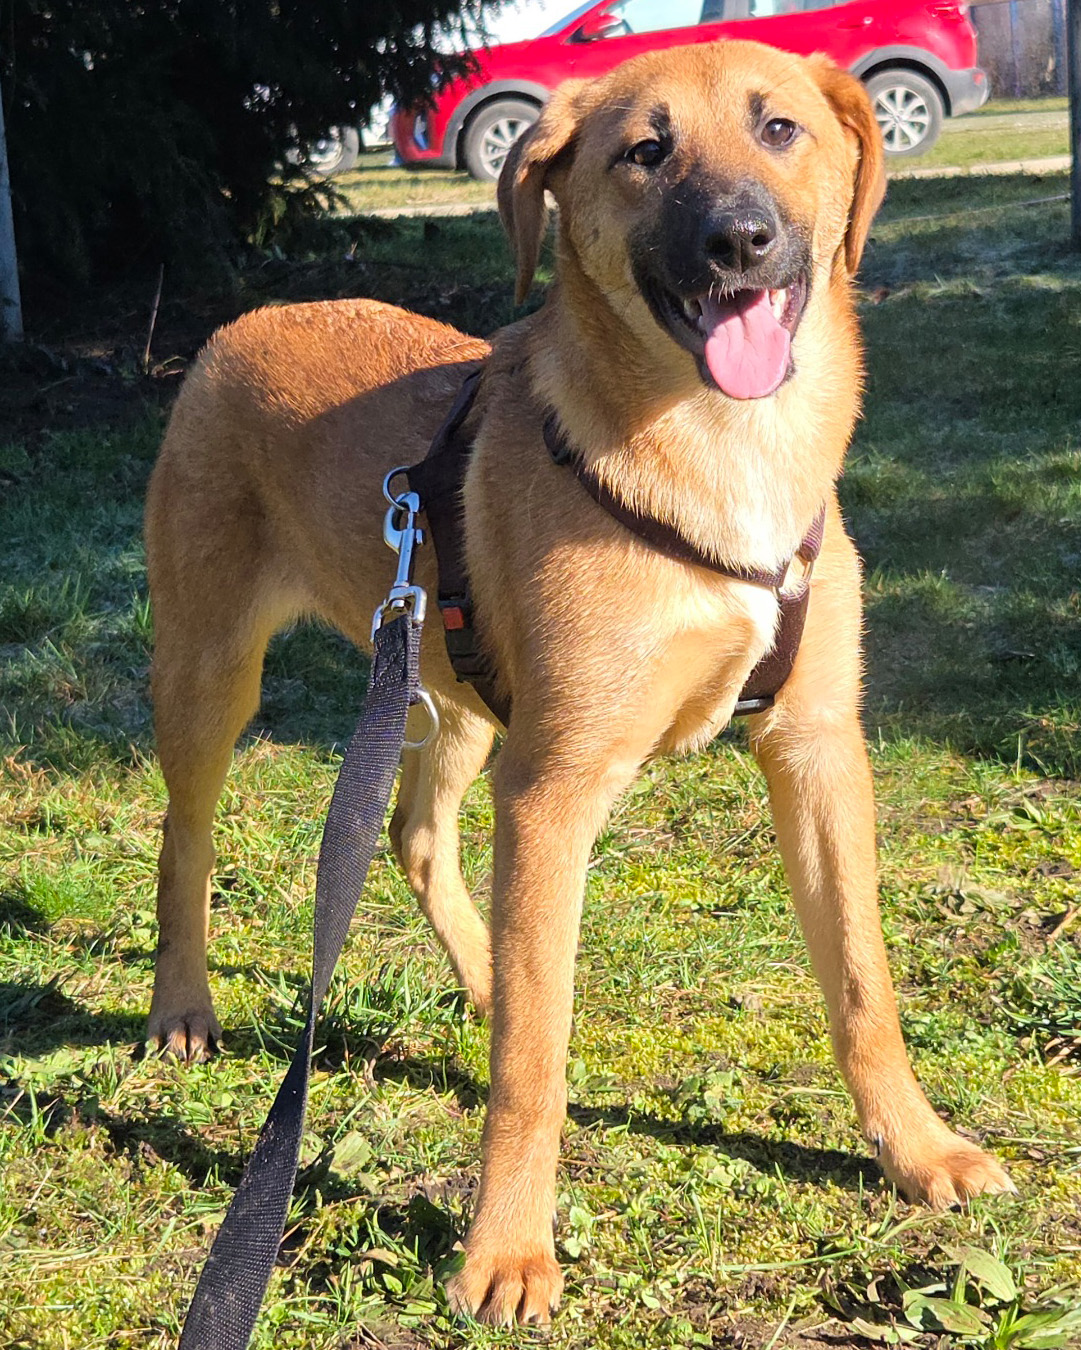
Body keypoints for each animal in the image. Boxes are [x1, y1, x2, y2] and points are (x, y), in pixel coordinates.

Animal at [145, 39, 1012, 1326]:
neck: (722, 455)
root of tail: (244, 321)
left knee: (413, 837)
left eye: (781, 128)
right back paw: (182, 1008)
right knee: (187, 842)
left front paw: (918, 1150)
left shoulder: (813, 750)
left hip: (448, 689)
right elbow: (531, 1068)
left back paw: (481, 977)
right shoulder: (555, 788)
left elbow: (864, 986)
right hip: (216, 675)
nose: (740, 241)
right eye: (643, 151)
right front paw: (505, 1250)